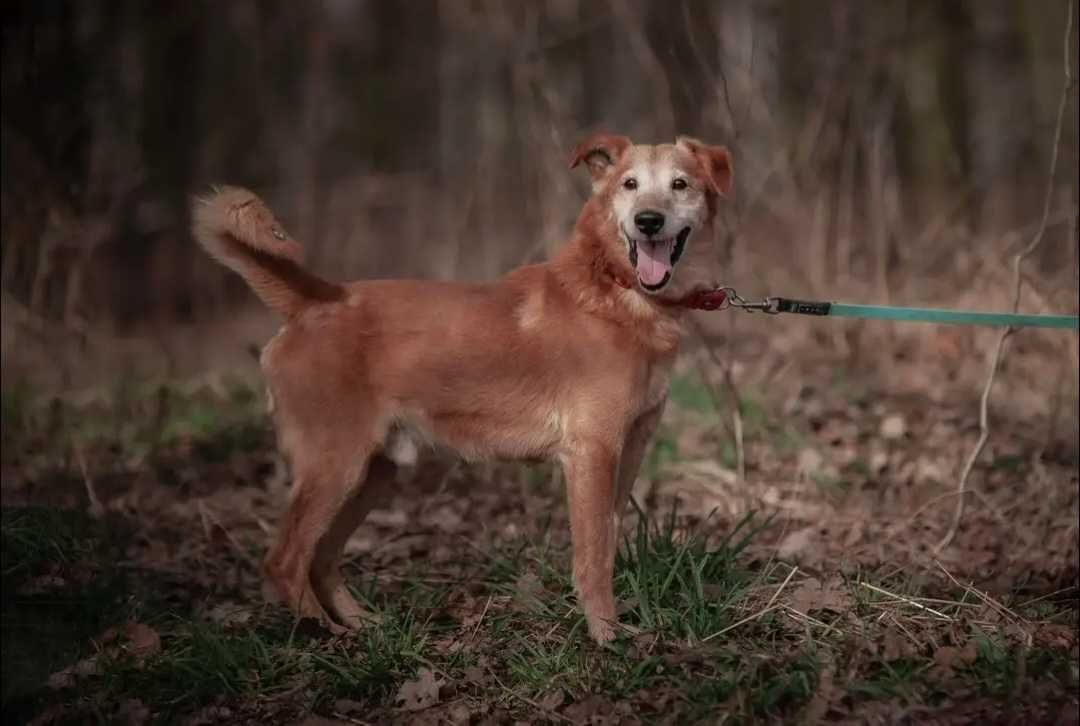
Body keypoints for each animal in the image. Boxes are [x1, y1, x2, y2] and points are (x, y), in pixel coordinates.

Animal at [192, 131, 734, 639]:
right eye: (630, 185)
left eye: (679, 184)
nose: (648, 221)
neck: (618, 291)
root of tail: (315, 300)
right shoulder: (592, 453)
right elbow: (592, 557)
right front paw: (605, 635)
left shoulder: (629, 450)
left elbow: (607, 539)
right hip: (333, 466)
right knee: (285, 560)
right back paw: (323, 633)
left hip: (373, 473)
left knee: (321, 558)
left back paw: (362, 626)